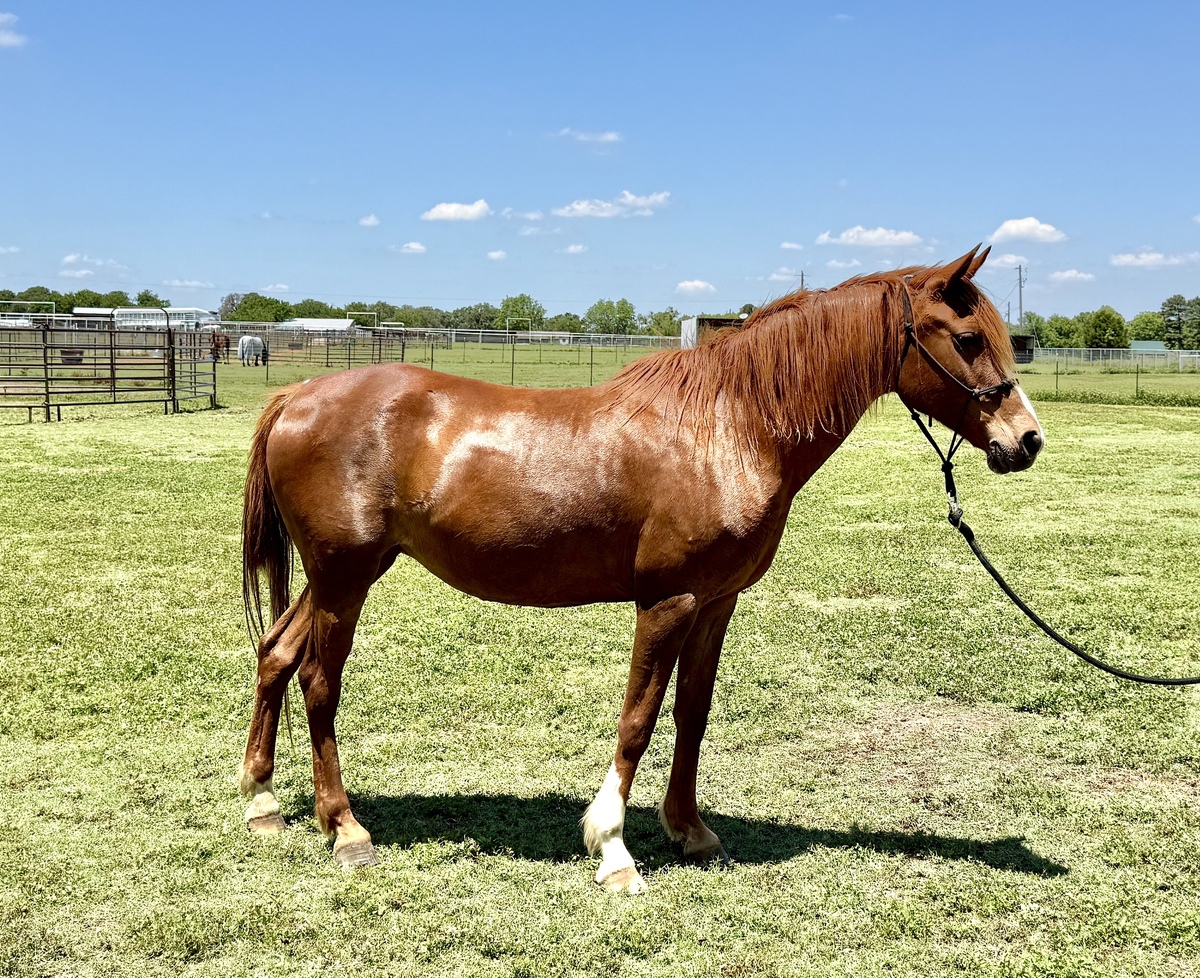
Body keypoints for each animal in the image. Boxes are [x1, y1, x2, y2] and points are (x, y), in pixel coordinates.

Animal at [239, 246, 1044, 893]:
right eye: (967, 339)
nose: (1026, 440)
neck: (731, 425)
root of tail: (296, 395)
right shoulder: (668, 601)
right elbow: (638, 719)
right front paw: (614, 849)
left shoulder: (716, 602)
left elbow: (692, 713)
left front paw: (689, 830)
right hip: (344, 578)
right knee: (319, 681)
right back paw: (346, 829)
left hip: (339, 575)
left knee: (276, 654)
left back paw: (262, 802)